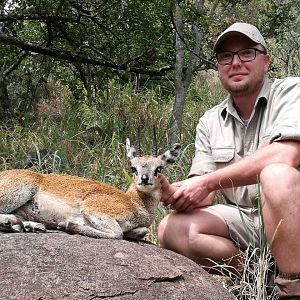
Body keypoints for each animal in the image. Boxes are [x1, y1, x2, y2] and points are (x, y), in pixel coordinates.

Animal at [0, 138, 180, 239]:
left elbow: (139, 232)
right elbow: (118, 233)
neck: (134, 203)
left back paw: (28, 226)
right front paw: (67, 225)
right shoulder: (93, 208)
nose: (144, 179)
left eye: (159, 168)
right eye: (133, 168)